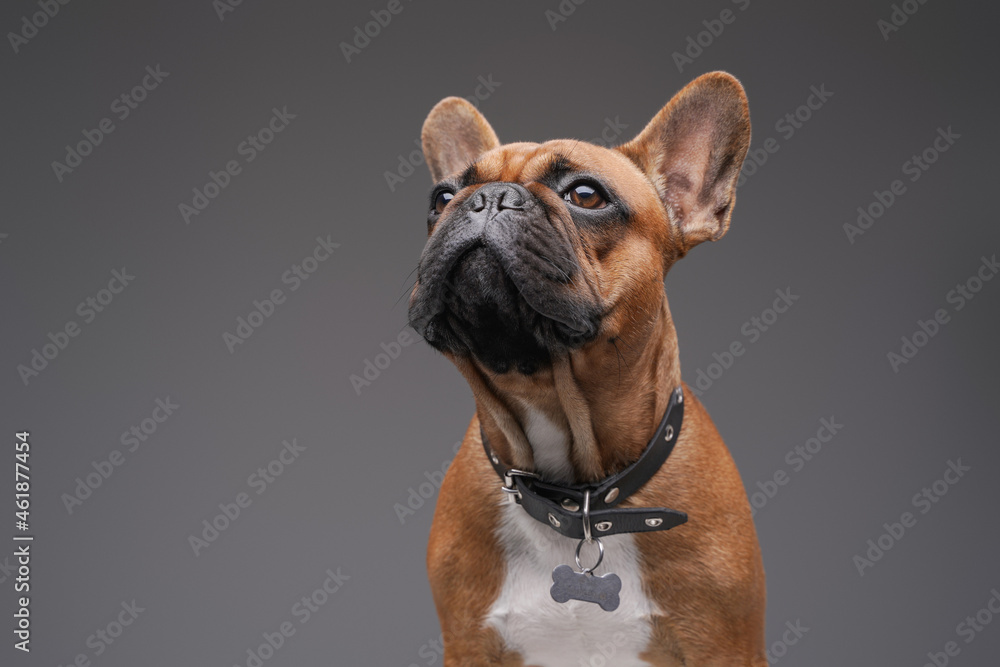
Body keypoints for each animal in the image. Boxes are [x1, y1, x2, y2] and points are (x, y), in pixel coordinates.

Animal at [406, 70, 764, 664]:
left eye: (585, 195)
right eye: (442, 197)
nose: (486, 198)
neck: (579, 496)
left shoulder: (724, 645)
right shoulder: (467, 643)